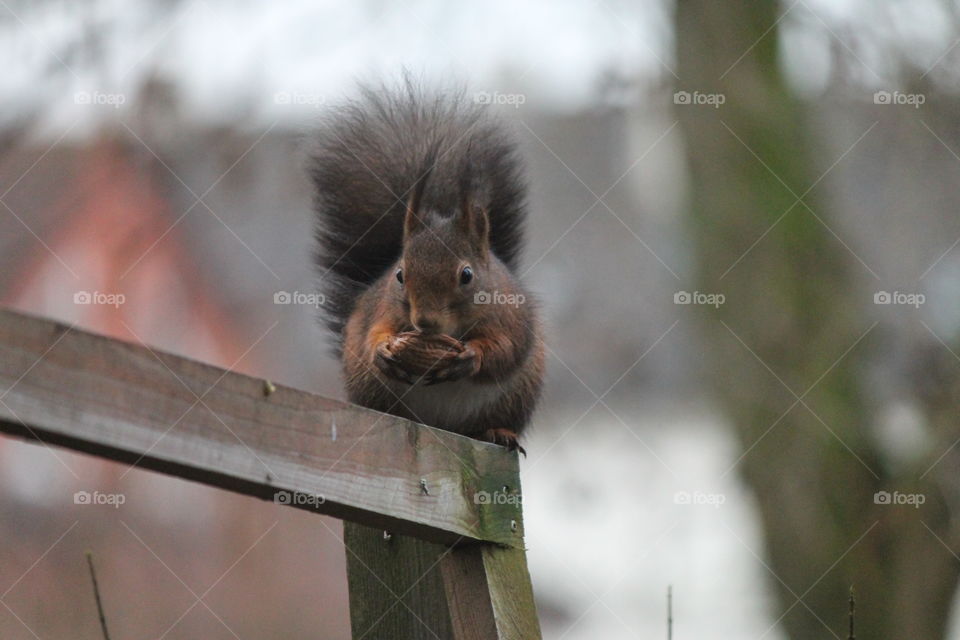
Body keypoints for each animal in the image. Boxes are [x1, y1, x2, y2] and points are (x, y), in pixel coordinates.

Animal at [309, 80, 544, 453]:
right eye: (400, 275)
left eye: (466, 275)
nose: (424, 322)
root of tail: (442, 427)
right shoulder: (384, 309)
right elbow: (375, 333)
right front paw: (383, 351)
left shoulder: (509, 317)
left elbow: (505, 349)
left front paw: (471, 357)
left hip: (518, 394)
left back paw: (498, 432)